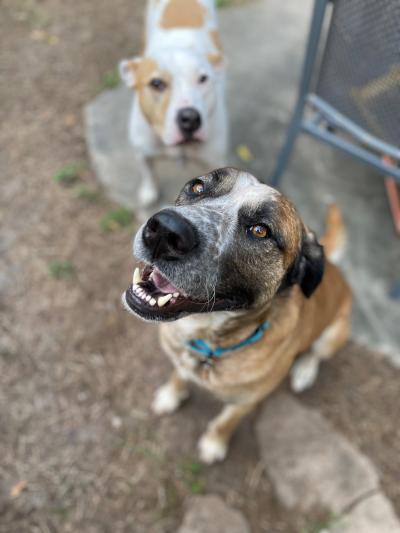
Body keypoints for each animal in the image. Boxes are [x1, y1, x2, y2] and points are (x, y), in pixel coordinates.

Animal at [119, 0, 227, 206]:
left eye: (203, 79)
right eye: (156, 83)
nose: (190, 119)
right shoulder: (142, 150)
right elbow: (148, 171)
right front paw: (149, 191)